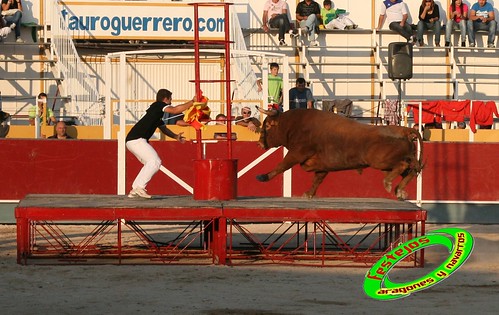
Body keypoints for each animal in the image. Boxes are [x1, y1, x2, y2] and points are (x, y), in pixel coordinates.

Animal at [256, 108, 424, 201]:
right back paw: (400, 191)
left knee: (404, 165)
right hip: (387, 164)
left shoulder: (297, 153)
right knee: (410, 170)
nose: (259, 143)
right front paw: (308, 194)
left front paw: (263, 177)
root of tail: (403, 130)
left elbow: (282, 165)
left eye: (268, 126)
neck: (292, 125)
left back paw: (389, 184)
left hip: (381, 162)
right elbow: (317, 180)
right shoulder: (322, 166)